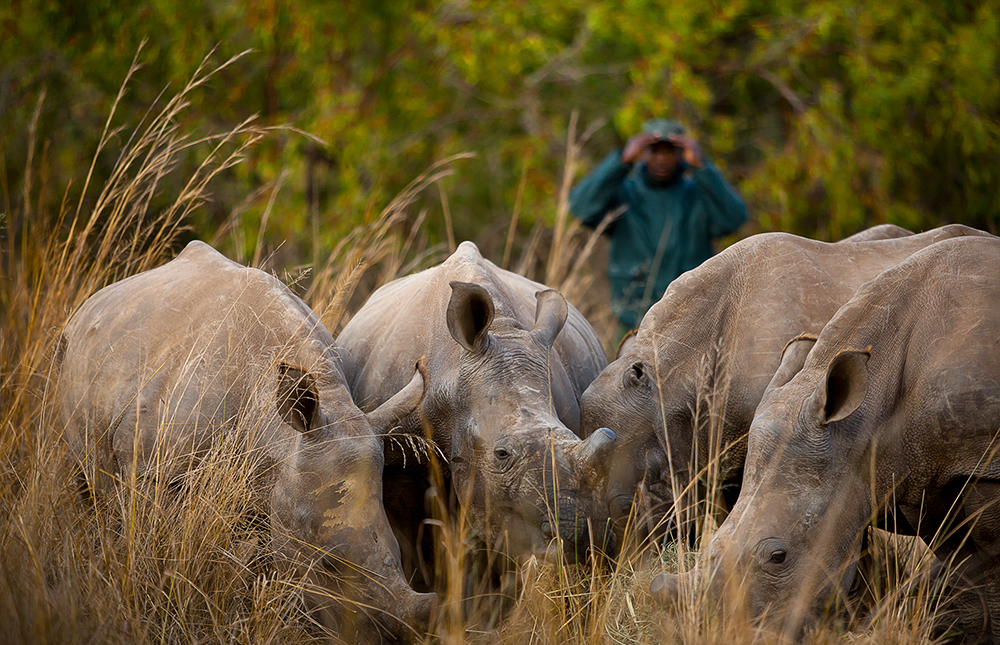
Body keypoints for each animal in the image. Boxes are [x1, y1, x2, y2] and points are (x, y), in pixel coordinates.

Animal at [652, 234, 1000, 640]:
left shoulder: (982, 462)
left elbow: (989, 567)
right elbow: (965, 567)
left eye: (778, 556)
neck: (868, 423)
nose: (735, 634)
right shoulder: (927, 468)